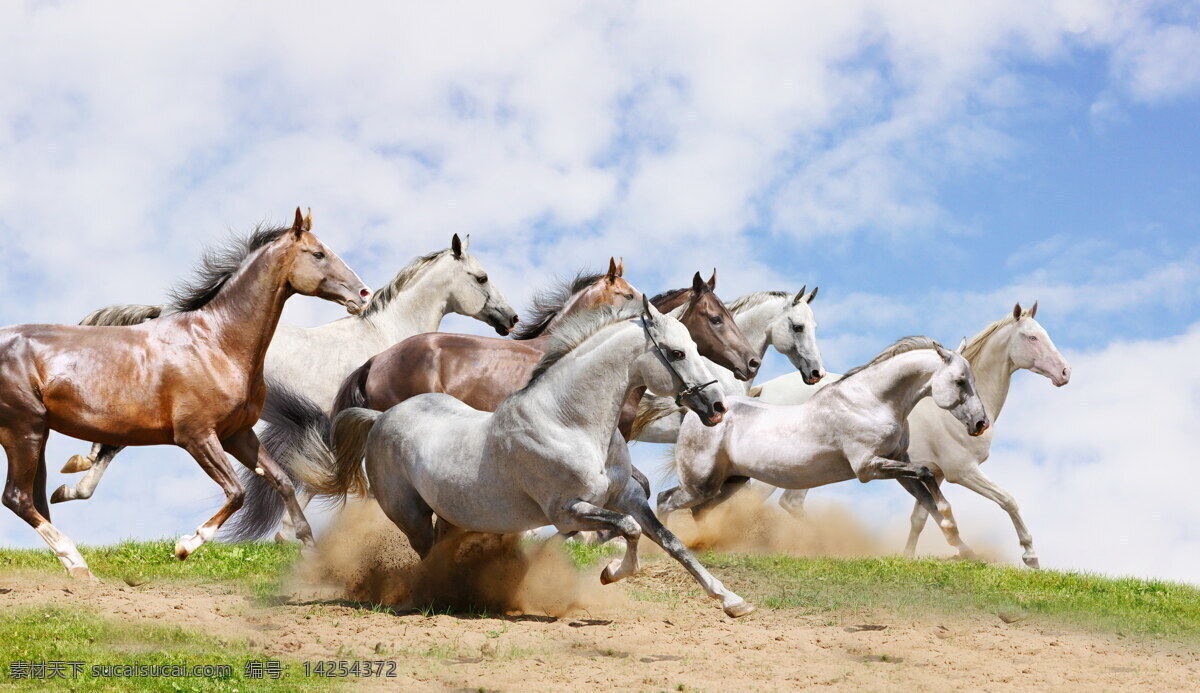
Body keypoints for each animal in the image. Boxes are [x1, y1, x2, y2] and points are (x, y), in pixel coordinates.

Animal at [0, 207, 369, 575]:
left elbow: (282, 480)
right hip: (25, 430)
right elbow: (236, 492)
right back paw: (77, 561)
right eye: (318, 253)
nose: (363, 294)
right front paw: (186, 545)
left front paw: (309, 549)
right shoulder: (196, 436)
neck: (217, 343)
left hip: (36, 434)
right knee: (18, 497)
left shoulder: (238, 434)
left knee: (35, 498)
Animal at [314, 299, 753, 618]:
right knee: (426, 557)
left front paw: (732, 601)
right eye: (676, 353)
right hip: (411, 516)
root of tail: (380, 418)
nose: (717, 407)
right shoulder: (568, 511)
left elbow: (672, 543)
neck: (568, 421)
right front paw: (610, 573)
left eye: (695, 347)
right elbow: (628, 531)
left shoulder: (627, 497)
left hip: (450, 516)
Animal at [662, 335, 988, 556]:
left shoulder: (897, 465)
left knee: (698, 511)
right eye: (960, 381)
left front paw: (966, 551)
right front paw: (953, 525)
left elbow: (927, 499)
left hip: (728, 483)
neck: (873, 401)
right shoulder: (868, 468)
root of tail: (699, 414)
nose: (981, 424)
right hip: (700, 484)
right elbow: (927, 475)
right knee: (666, 501)